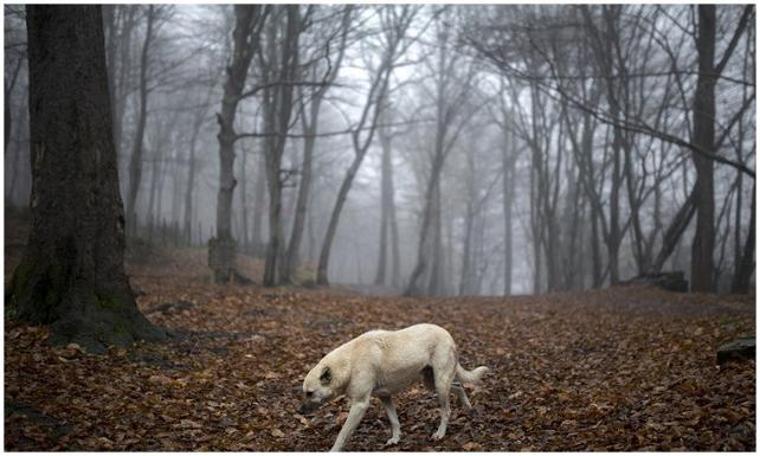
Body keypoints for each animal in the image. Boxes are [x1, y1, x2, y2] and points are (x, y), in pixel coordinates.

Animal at [296, 324, 486, 452]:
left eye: (309, 393)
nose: (298, 411)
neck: (349, 363)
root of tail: (447, 334)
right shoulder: (385, 397)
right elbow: (394, 421)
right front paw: (395, 439)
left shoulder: (359, 405)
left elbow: (342, 433)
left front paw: (334, 450)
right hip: (431, 384)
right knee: (459, 387)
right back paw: (468, 408)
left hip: (439, 385)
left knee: (447, 411)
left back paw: (440, 434)